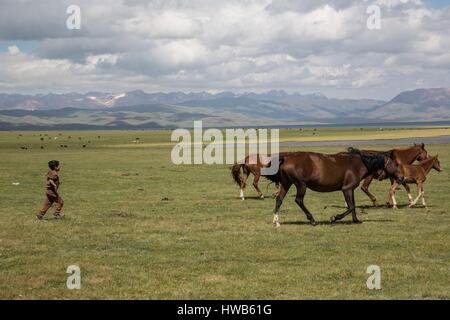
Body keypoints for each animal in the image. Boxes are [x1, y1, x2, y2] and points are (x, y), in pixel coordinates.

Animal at [264, 149, 404, 226]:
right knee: (298, 200)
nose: (402, 178)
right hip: (301, 185)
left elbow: (353, 205)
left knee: (279, 200)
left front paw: (356, 220)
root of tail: (287, 158)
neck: (359, 164)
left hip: (286, 183)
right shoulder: (346, 189)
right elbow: (351, 206)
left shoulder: (350, 189)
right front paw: (334, 218)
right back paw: (312, 220)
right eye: (396, 164)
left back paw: (276, 222)